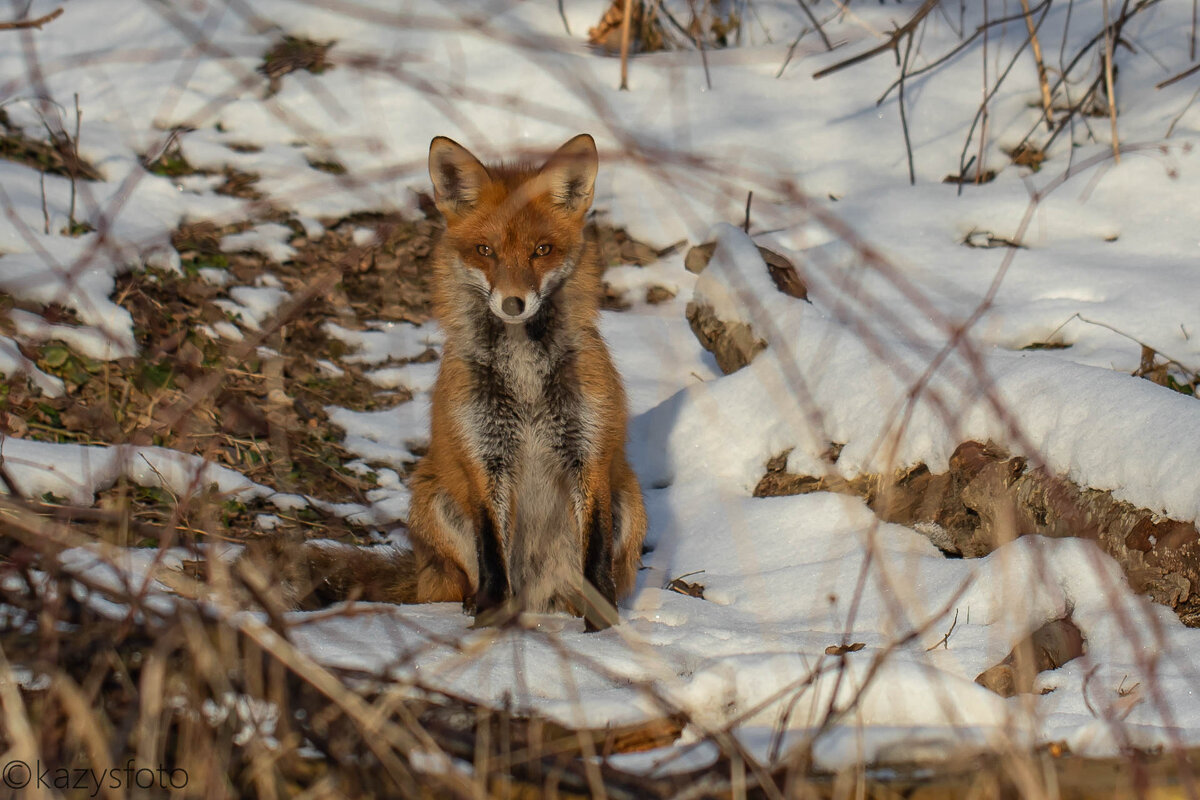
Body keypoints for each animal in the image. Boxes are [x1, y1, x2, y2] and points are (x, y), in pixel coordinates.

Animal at [298, 133, 648, 633]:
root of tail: (538, 597)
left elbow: (595, 556)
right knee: (459, 579)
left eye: (542, 250)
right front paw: (487, 624)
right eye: (486, 251)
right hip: (433, 498)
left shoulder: (590, 452)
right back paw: (470, 604)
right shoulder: (483, 456)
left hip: (630, 502)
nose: (514, 303)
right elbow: (491, 552)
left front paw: (603, 630)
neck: (524, 376)